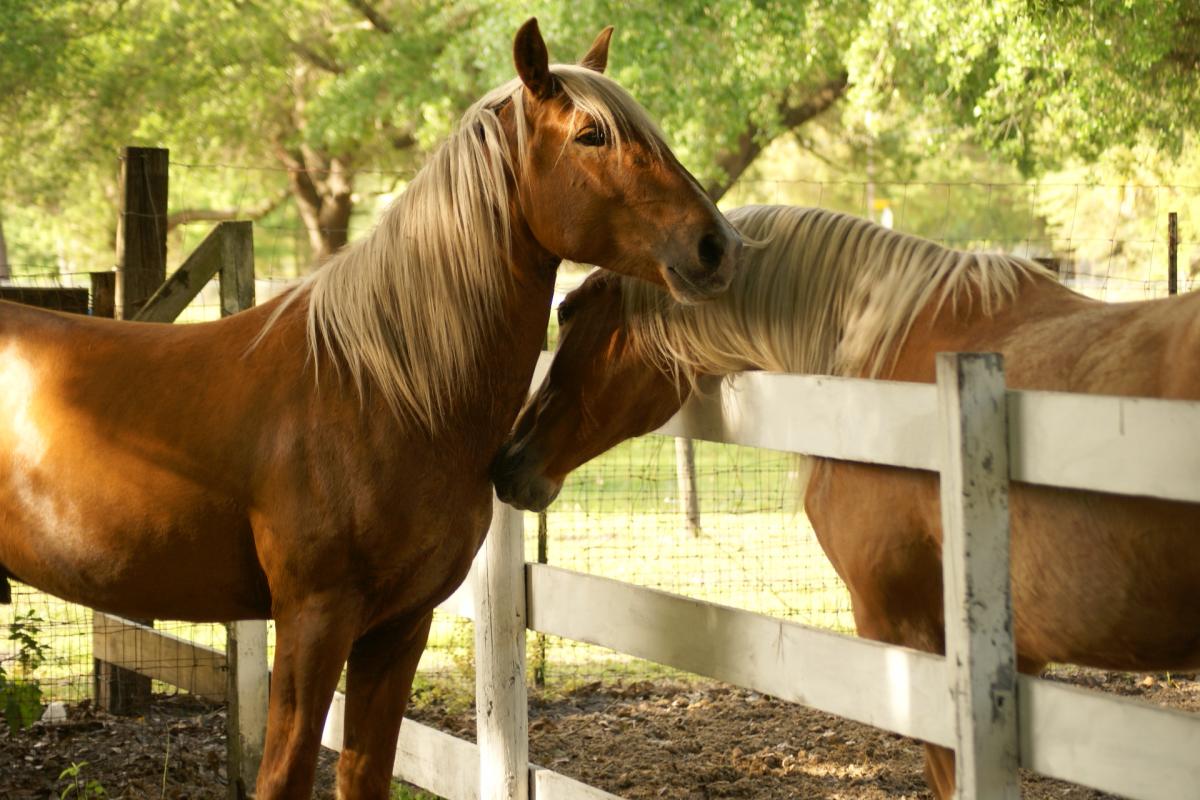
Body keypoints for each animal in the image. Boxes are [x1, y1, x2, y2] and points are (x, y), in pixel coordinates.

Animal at [0, 20, 741, 799]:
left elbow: (367, 771)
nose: (718, 246)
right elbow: (286, 775)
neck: (377, 388)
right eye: (592, 135)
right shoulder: (313, 622)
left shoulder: (400, 626)